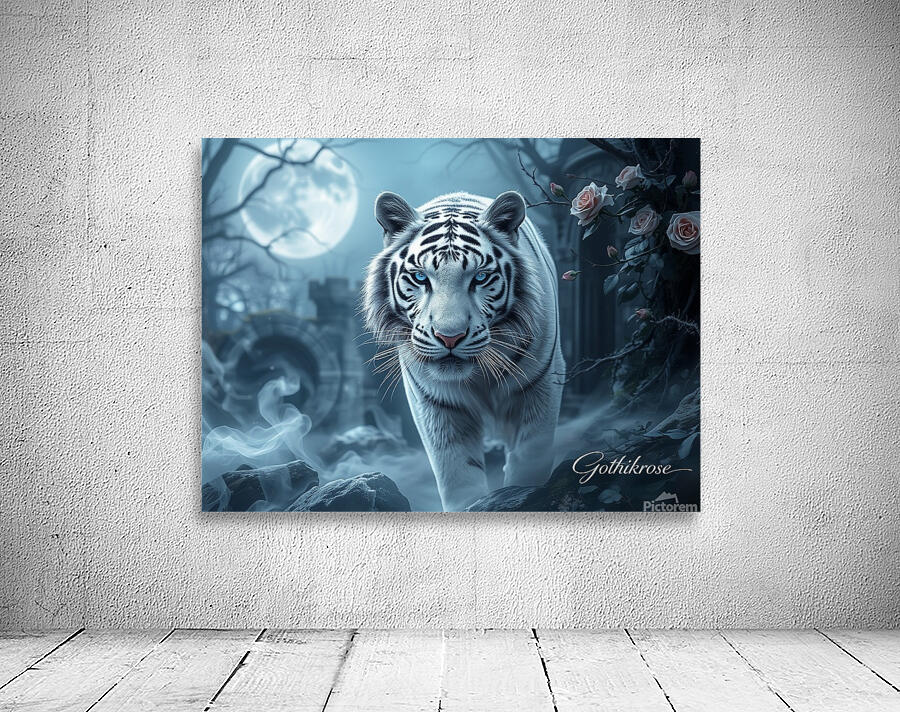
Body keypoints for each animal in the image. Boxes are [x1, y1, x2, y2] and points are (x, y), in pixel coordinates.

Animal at [363, 190, 565, 511]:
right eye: (420, 278)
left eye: (480, 278)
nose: (450, 337)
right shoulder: (436, 403)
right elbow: (457, 473)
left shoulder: (541, 385)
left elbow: (531, 455)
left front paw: (523, 494)